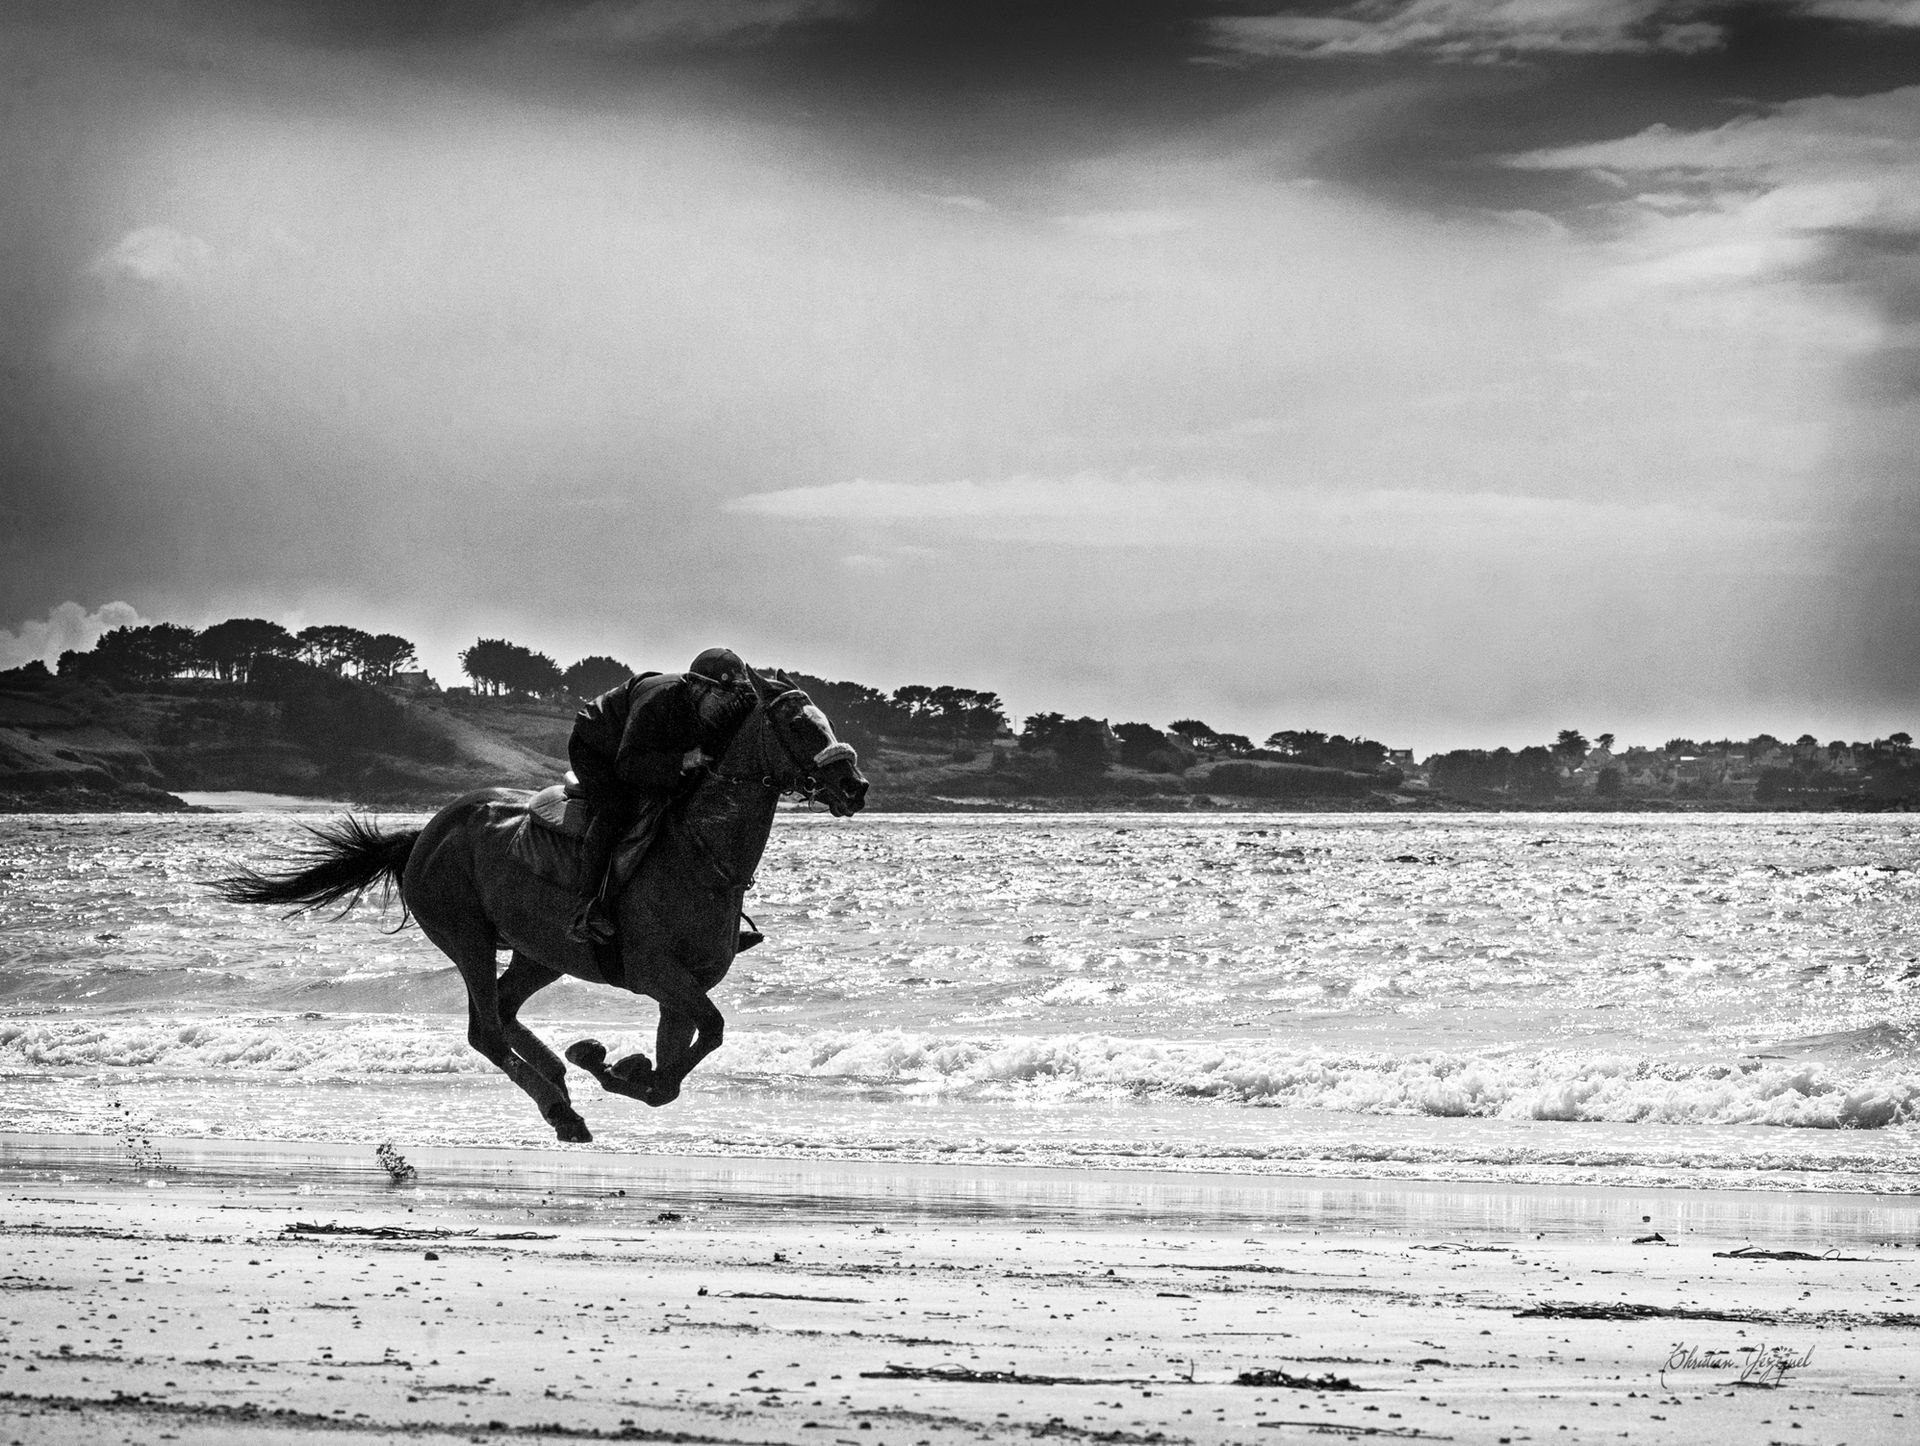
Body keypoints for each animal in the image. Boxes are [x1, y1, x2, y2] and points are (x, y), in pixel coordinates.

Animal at [216, 674, 868, 1142]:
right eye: (798, 724)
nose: (855, 786)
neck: (702, 854)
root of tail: (425, 833)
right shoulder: (657, 971)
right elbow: (705, 1036)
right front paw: (610, 1066)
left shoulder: (682, 983)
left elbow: (678, 1067)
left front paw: (612, 1063)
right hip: (468, 937)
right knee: (484, 1029)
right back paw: (559, 1105)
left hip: (540, 952)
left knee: (504, 1011)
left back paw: (559, 1072)